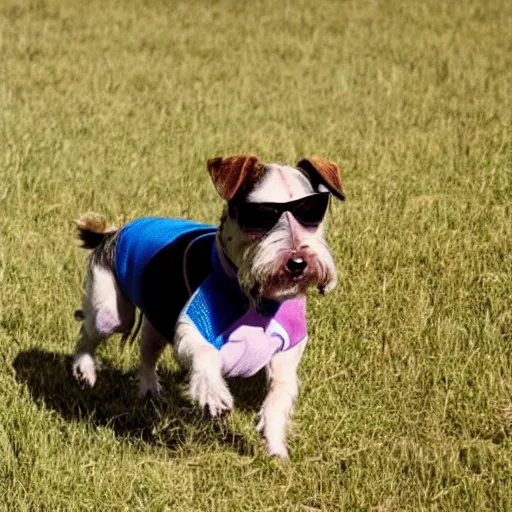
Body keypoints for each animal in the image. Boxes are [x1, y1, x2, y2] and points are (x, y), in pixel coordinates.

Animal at [72, 154, 344, 458]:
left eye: (310, 212)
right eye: (260, 215)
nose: (298, 262)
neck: (252, 297)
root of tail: (112, 233)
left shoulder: (288, 349)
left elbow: (280, 391)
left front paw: (276, 450)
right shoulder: (190, 326)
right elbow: (205, 351)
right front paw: (213, 394)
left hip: (155, 317)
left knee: (147, 353)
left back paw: (149, 390)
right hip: (111, 312)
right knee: (88, 333)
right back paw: (85, 369)